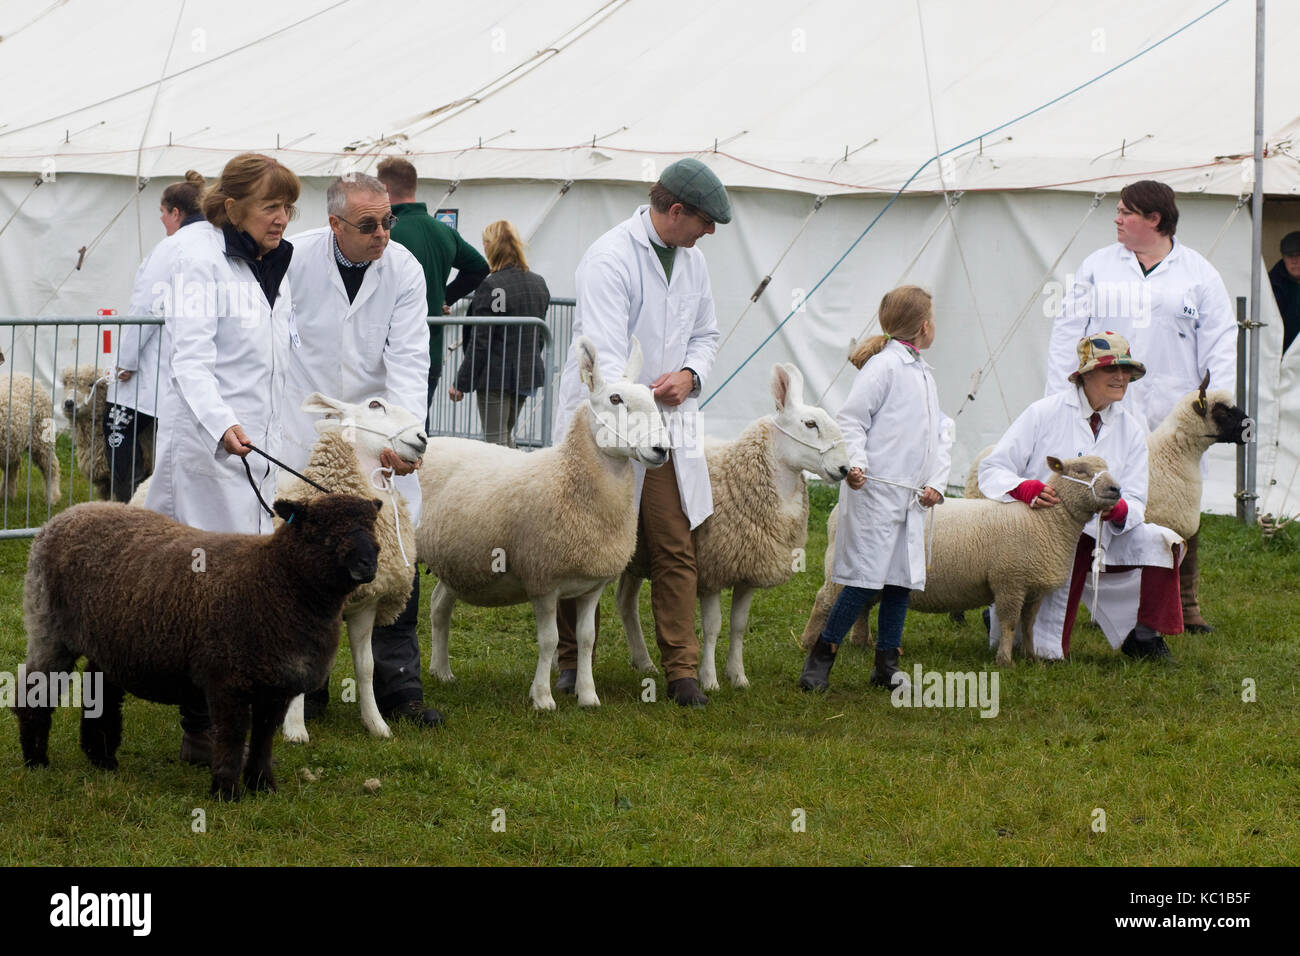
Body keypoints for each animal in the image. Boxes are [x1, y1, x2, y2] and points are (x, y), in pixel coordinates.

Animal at [0, 348, 60, 504]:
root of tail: (26, 376)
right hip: (11, 442)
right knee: (13, 465)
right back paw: (8, 495)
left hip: (42, 436)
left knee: (51, 466)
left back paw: (52, 497)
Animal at [15, 494, 379, 801]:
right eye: (321, 527)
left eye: (372, 522)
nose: (369, 562)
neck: (275, 581)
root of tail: (65, 516)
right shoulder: (228, 681)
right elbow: (233, 735)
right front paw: (226, 791)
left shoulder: (276, 688)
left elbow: (263, 739)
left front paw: (263, 786)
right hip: (49, 627)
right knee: (35, 690)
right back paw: (36, 760)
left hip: (110, 640)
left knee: (100, 692)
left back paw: (102, 758)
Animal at [416, 335, 670, 712]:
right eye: (615, 399)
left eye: (653, 398)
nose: (661, 449)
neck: (567, 474)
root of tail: (430, 441)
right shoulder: (543, 580)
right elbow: (550, 640)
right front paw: (542, 698)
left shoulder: (591, 585)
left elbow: (586, 639)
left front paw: (588, 695)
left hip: (457, 560)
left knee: (438, 606)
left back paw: (441, 671)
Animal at [618, 364, 852, 686]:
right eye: (810, 424)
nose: (845, 469)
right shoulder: (712, 569)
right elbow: (713, 627)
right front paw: (709, 679)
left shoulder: (749, 569)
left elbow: (739, 625)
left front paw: (738, 676)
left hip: (637, 556)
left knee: (626, 602)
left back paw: (643, 662)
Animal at [800, 455, 1118, 665]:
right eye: (1080, 470)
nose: (1116, 490)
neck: (1046, 521)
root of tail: (834, 512)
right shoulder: (1010, 582)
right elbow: (1009, 623)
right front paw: (1005, 660)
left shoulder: (1033, 588)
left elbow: (1028, 625)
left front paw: (1031, 657)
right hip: (837, 565)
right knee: (824, 599)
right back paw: (808, 642)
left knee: (862, 603)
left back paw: (862, 642)